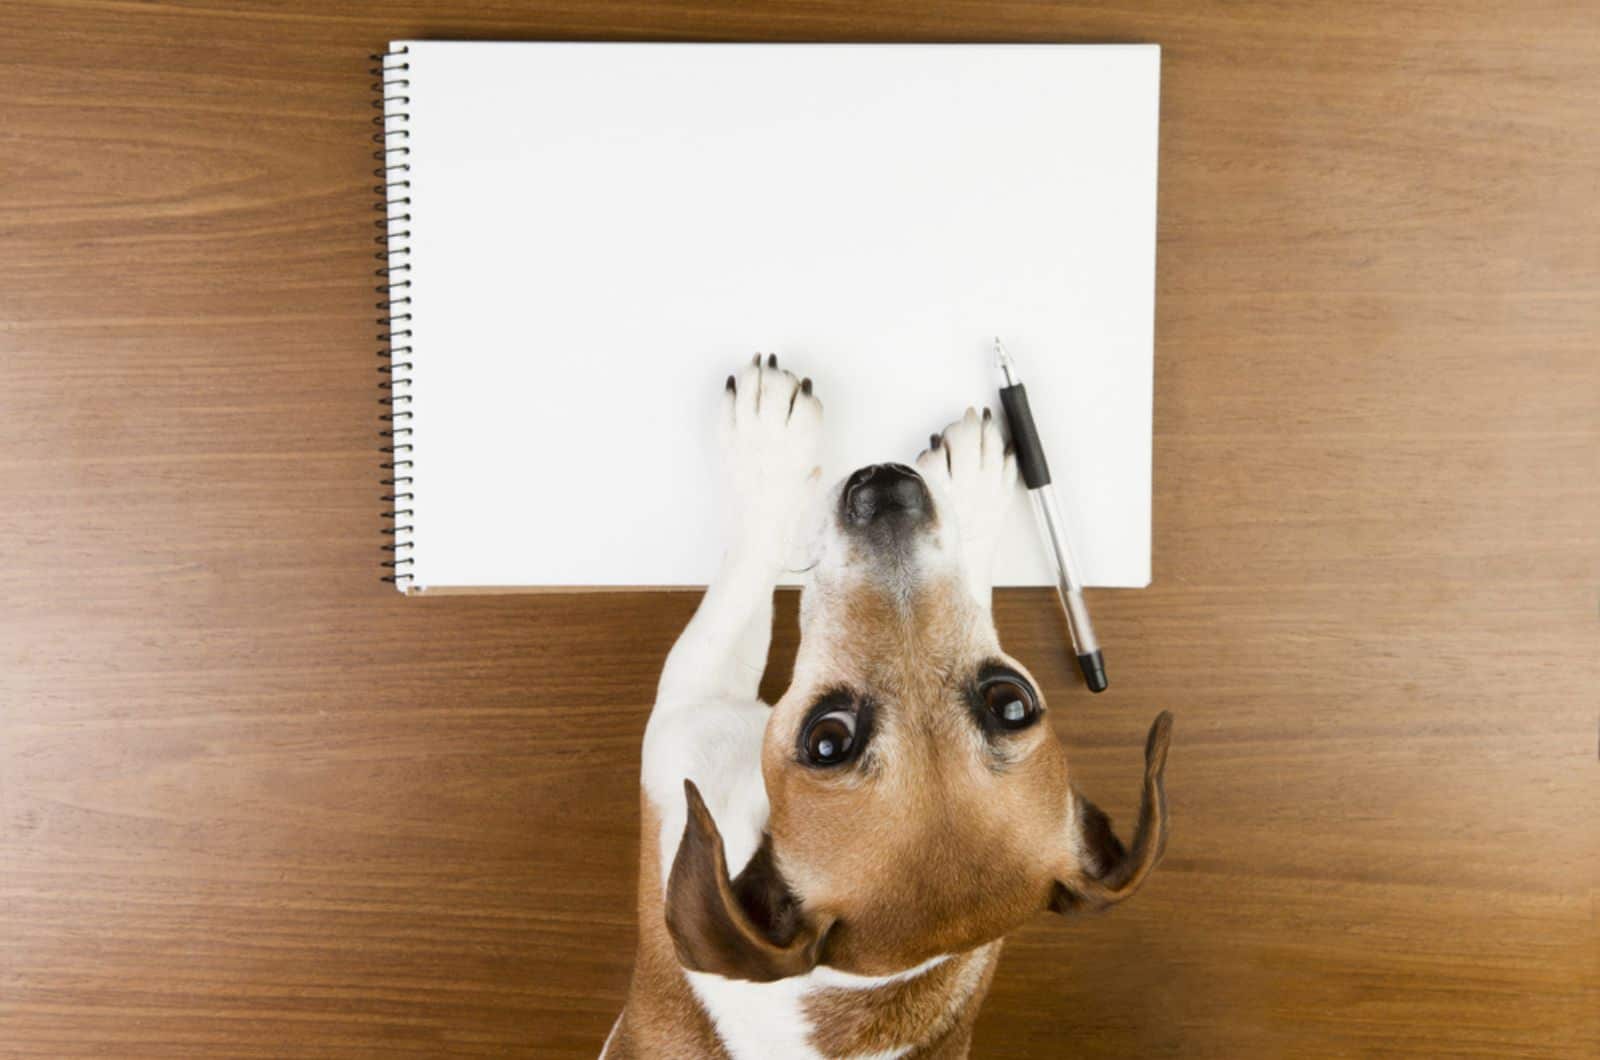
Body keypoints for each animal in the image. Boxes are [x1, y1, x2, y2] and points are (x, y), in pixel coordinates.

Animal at [601, 358, 1177, 1060]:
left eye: (824, 741)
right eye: (1012, 701)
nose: (887, 491)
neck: (861, 986)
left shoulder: (691, 716)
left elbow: (751, 558)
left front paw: (769, 440)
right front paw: (972, 485)